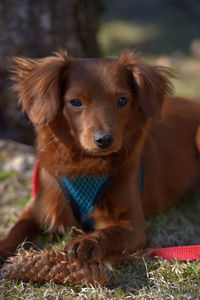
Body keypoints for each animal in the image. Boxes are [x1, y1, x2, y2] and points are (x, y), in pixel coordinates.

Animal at [0, 51, 200, 262]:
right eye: (75, 102)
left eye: (122, 100)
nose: (104, 139)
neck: (85, 165)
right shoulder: (39, 206)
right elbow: (17, 228)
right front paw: (4, 247)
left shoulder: (133, 225)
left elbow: (109, 232)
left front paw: (88, 241)